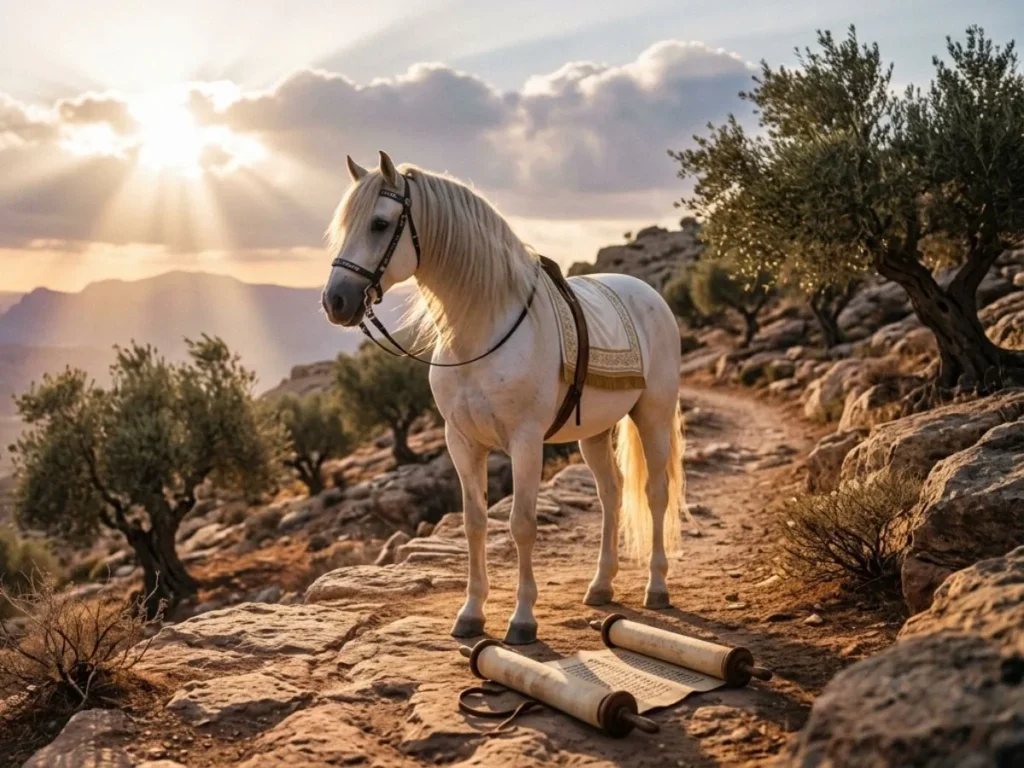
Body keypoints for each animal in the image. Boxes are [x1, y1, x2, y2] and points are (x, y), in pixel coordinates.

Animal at [322, 151, 685, 645]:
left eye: (379, 223)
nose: (335, 302)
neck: (482, 331)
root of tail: (650, 295)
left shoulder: (525, 443)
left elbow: (521, 524)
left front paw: (523, 619)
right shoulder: (462, 442)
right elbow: (475, 523)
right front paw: (471, 613)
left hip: (653, 416)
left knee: (655, 493)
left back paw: (657, 587)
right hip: (593, 432)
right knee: (611, 494)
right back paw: (600, 586)